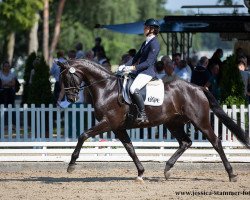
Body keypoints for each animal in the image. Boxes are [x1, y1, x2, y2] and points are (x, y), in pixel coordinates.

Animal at [57, 58, 249, 182]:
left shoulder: (108, 123)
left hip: (200, 121)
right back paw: (167, 170)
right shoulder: (119, 128)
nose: (71, 99)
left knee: (215, 142)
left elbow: (83, 135)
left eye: (67, 77)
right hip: (173, 123)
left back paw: (231, 174)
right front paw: (141, 173)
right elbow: (130, 149)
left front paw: (71, 164)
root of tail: (198, 87)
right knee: (185, 142)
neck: (106, 88)